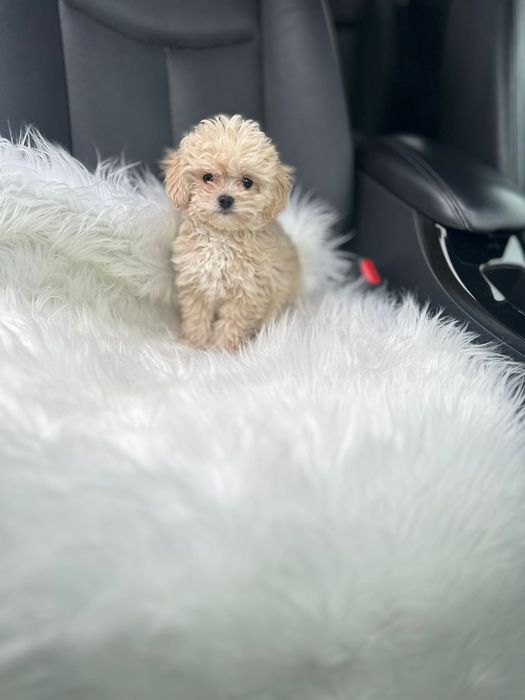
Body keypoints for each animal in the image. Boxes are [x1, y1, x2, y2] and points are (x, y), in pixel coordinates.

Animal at [162, 114, 300, 351]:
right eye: (208, 177)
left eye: (247, 182)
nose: (225, 199)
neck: (221, 238)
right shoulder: (195, 284)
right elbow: (196, 317)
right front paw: (195, 344)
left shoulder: (247, 293)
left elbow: (232, 323)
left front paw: (221, 351)